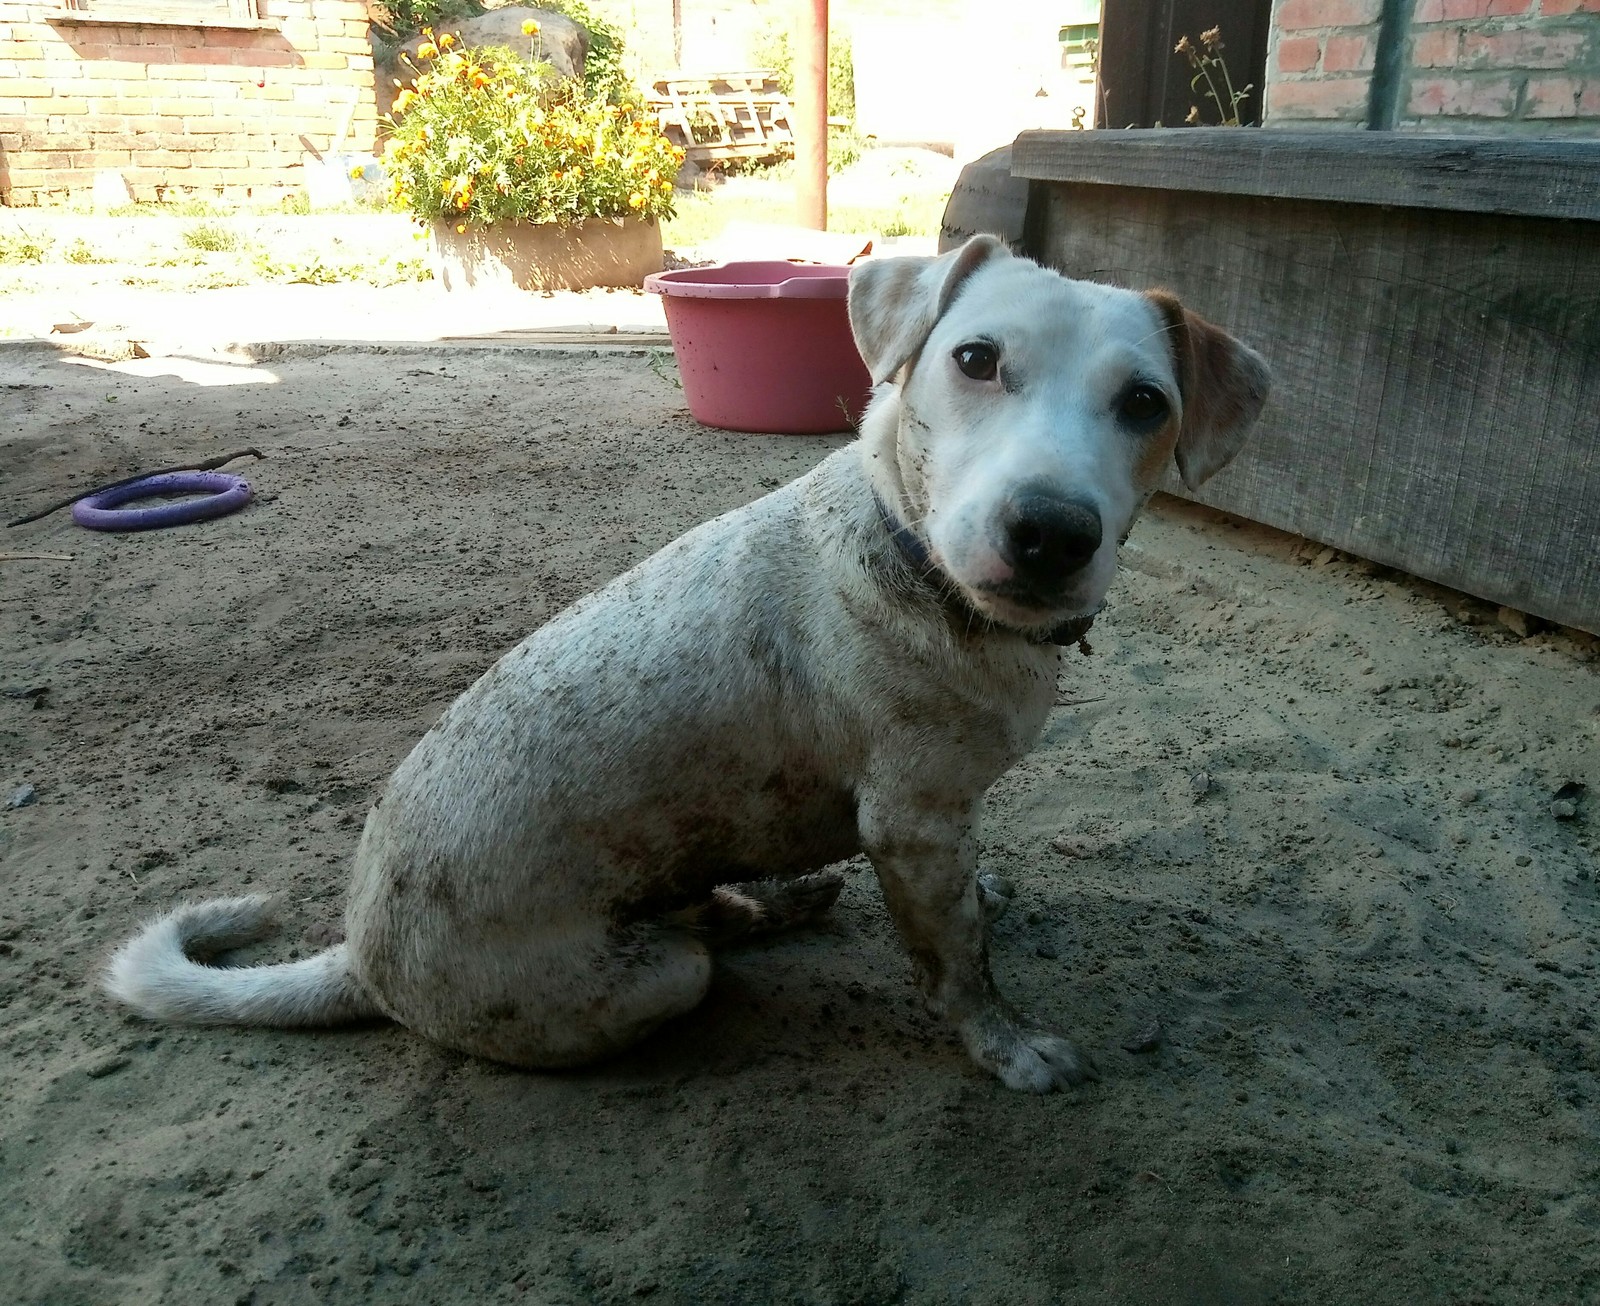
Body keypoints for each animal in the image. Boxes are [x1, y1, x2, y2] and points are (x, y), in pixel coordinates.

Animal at [106, 236, 1267, 1094]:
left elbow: (967, 915)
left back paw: (767, 902)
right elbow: (962, 966)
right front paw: (1009, 1047)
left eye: (1146, 405)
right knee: (684, 959)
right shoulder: (912, 823)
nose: (1050, 533)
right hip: (655, 979)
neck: (918, 561)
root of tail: (358, 952)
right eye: (975, 359)